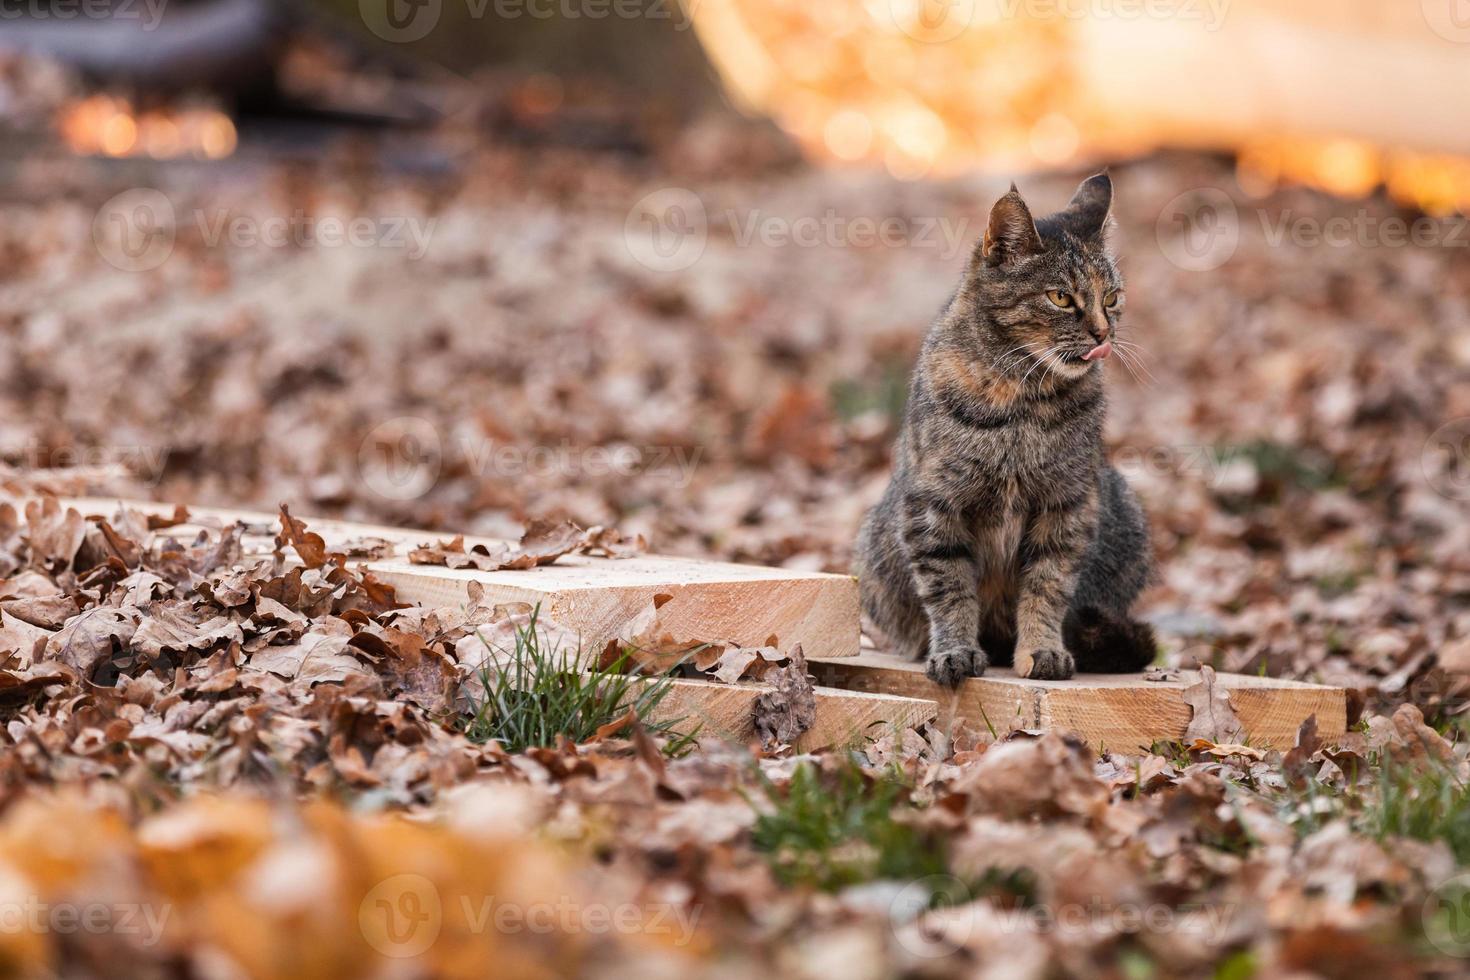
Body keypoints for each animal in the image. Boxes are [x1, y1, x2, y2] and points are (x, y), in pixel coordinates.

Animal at [852, 172, 1158, 687]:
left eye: (1111, 298)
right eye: (1060, 297)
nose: (1103, 334)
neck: (1024, 399)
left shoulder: (1067, 505)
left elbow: (1048, 585)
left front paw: (1042, 650)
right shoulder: (934, 505)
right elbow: (949, 586)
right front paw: (954, 651)